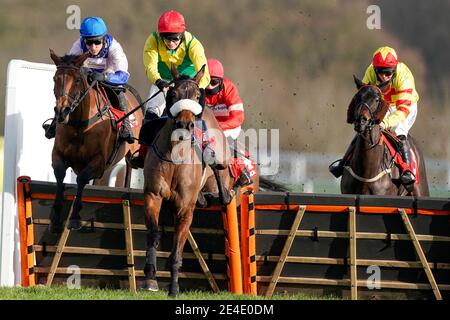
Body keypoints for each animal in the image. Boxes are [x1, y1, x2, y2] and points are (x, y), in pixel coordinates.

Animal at [48, 50, 142, 231]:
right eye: (55, 78)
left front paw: (75, 217)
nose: (62, 112)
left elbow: (82, 179)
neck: (79, 126)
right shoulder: (58, 154)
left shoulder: (98, 161)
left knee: (129, 168)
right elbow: (60, 174)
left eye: (77, 80)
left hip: (131, 153)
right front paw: (55, 216)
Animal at [142, 65, 236, 298]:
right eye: (173, 94)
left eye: (195, 96)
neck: (175, 158)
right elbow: (153, 234)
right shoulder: (153, 195)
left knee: (221, 187)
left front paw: (174, 288)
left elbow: (177, 250)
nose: (184, 124)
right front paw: (150, 278)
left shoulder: (185, 208)